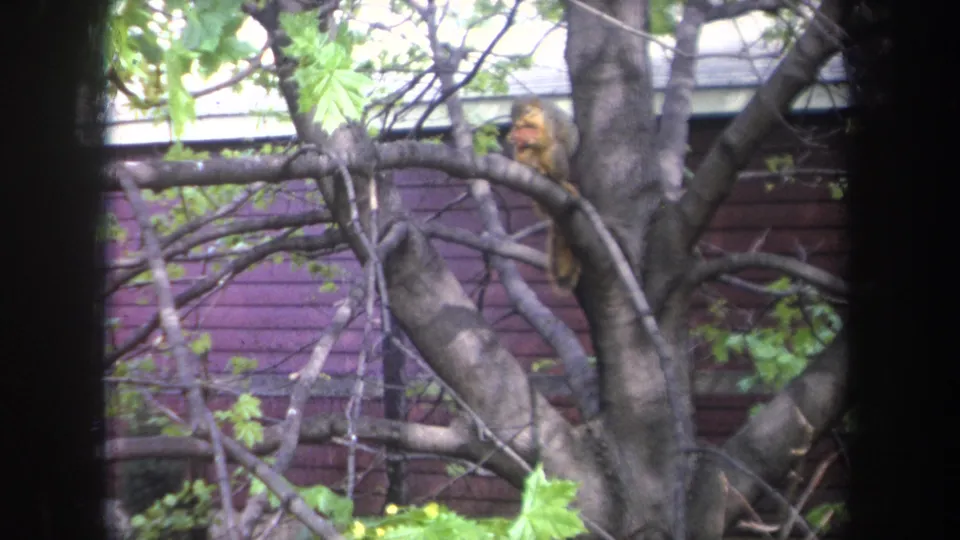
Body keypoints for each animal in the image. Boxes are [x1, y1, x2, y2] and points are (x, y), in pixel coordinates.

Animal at [506, 96, 582, 293]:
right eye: (512, 115)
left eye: (527, 111)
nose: (517, 125)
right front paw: (511, 136)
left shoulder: (549, 123)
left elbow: (546, 138)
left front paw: (533, 139)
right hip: (526, 158)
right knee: (526, 156)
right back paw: (532, 166)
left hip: (556, 156)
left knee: (553, 160)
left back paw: (555, 178)